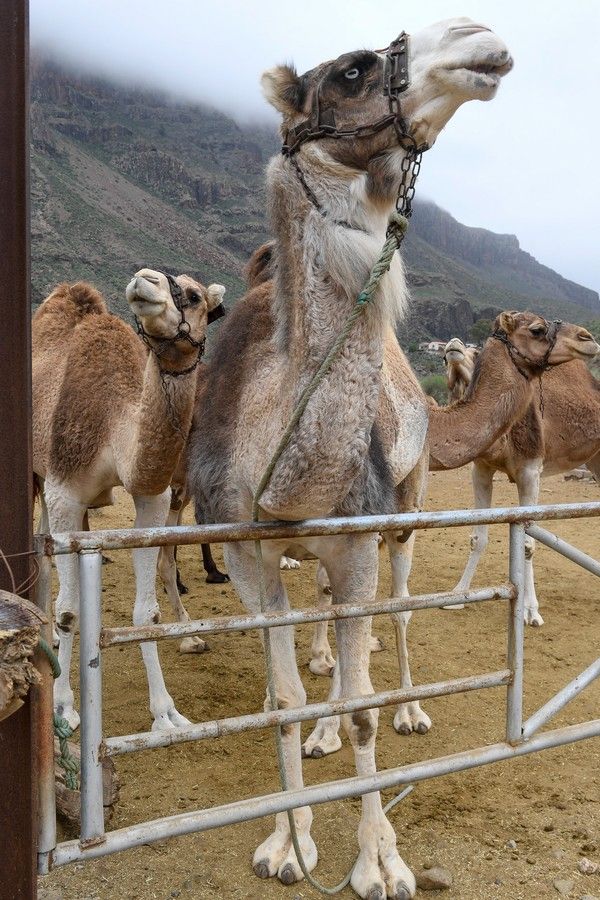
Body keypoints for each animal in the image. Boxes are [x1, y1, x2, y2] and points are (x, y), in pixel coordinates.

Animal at [33, 268, 225, 732]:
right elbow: (71, 609)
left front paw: (167, 713)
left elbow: (147, 615)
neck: (113, 426)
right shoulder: (66, 491)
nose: (145, 280)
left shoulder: (151, 497)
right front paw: (63, 707)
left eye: (194, 296)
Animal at [185, 17, 512, 896]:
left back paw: (409, 709)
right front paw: (288, 844)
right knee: (329, 635)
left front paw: (379, 860)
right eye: (354, 69)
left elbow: (361, 700)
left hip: (404, 509)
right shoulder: (250, 555)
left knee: (392, 614)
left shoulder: (359, 539)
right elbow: (282, 701)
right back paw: (326, 735)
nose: (482, 37)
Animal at [440, 332, 600, 624]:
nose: (453, 344)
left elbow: (527, 543)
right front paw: (457, 595)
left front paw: (530, 611)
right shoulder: (481, 468)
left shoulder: (530, 471)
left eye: (477, 352)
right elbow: (478, 537)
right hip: (595, 458)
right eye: (443, 359)